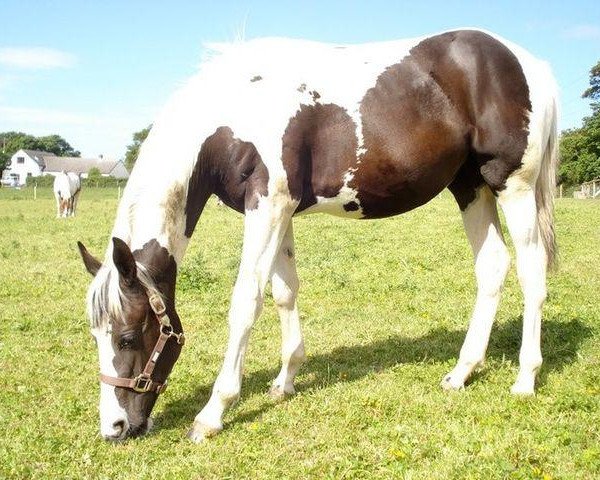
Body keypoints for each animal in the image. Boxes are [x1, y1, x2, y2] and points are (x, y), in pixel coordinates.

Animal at [76, 29, 556, 442]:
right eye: (95, 336)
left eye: (127, 337)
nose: (115, 427)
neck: (236, 108)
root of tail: (527, 62)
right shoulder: (281, 209)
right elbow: (284, 291)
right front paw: (286, 379)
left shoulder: (267, 204)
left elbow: (246, 301)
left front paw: (213, 412)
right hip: (470, 186)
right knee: (492, 265)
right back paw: (461, 373)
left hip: (512, 185)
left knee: (532, 271)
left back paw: (525, 378)